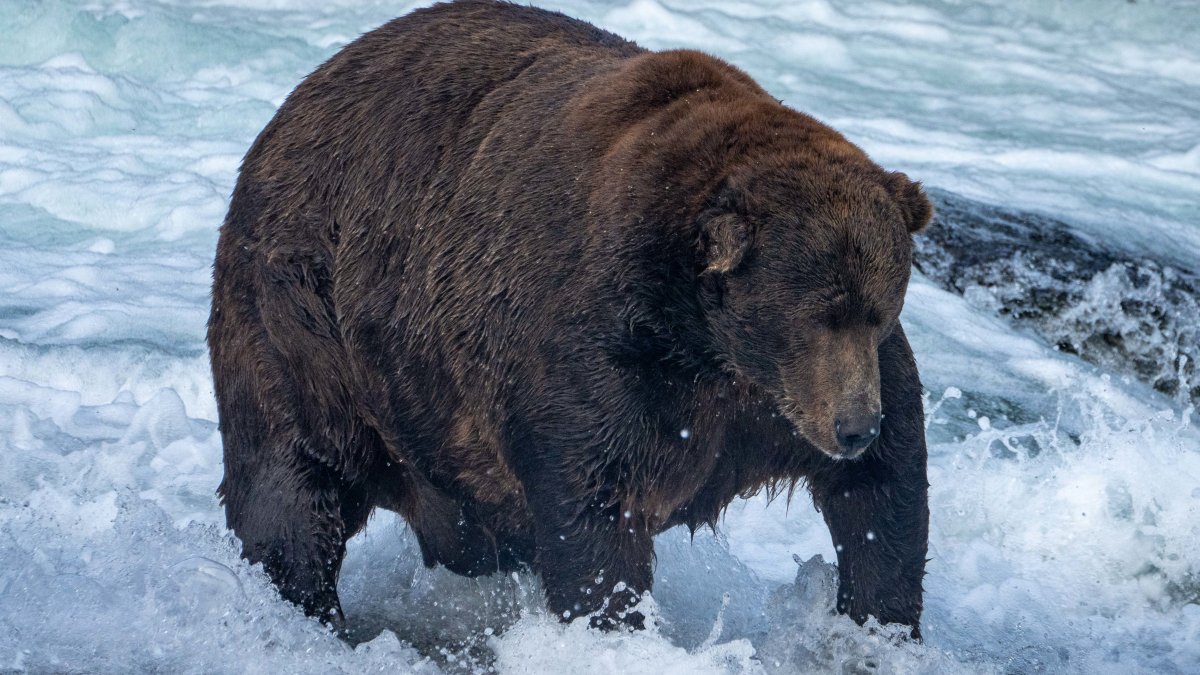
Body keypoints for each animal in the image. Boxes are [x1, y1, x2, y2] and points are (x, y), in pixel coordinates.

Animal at [208, 0, 932, 637]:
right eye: (815, 316)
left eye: (877, 310)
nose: (853, 426)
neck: (704, 339)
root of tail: (295, 101)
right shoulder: (601, 356)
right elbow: (594, 508)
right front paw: (614, 625)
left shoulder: (772, 401)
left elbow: (885, 491)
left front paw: (878, 624)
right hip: (306, 321)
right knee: (294, 481)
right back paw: (308, 607)